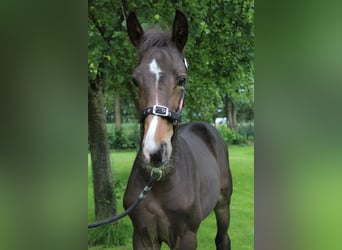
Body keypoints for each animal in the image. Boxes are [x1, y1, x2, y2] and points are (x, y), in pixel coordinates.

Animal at [123, 9, 232, 250]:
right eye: (134, 80)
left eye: (182, 79)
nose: (155, 152)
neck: (160, 182)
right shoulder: (141, 236)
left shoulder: (186, 237)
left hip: (223, 204)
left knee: (222, 239)